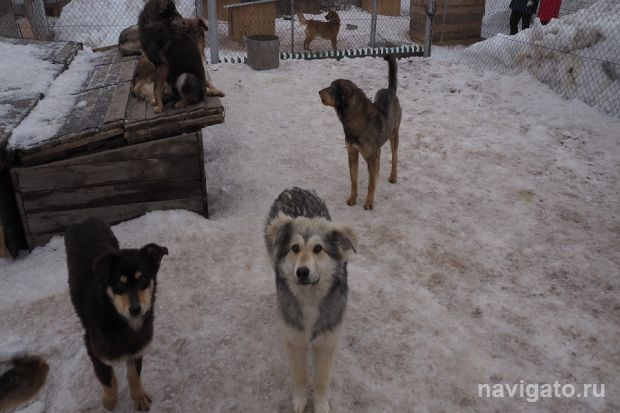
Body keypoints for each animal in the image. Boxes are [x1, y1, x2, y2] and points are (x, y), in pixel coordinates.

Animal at [66, 217, 167, 410]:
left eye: (143, 279)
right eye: (119, 284)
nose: (135, 309)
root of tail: (85, 220)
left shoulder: (138, 346)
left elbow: (134, 375)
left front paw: (139, 398)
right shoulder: (95, 351)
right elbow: (109, 382)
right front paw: (109, 404)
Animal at [262, 188, 358, 412]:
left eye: (318, 249)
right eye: (295, 248)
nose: (302, 272)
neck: (310, 299)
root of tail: (293, 189)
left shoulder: (326, 342)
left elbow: (321, 380)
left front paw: (320, 405)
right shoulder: (294, 340)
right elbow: (299, 377)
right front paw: (300, 401)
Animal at [320, 54, 402, 209]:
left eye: (332, 88)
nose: (318, 92)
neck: (354, 119)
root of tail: (390, 90)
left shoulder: (371, 156)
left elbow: (371, 184)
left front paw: (369, 202)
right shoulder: (352, 153)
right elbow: (353, 180)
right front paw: (352, 198)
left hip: (394, 135)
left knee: (394, 157)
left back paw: (393, 176)